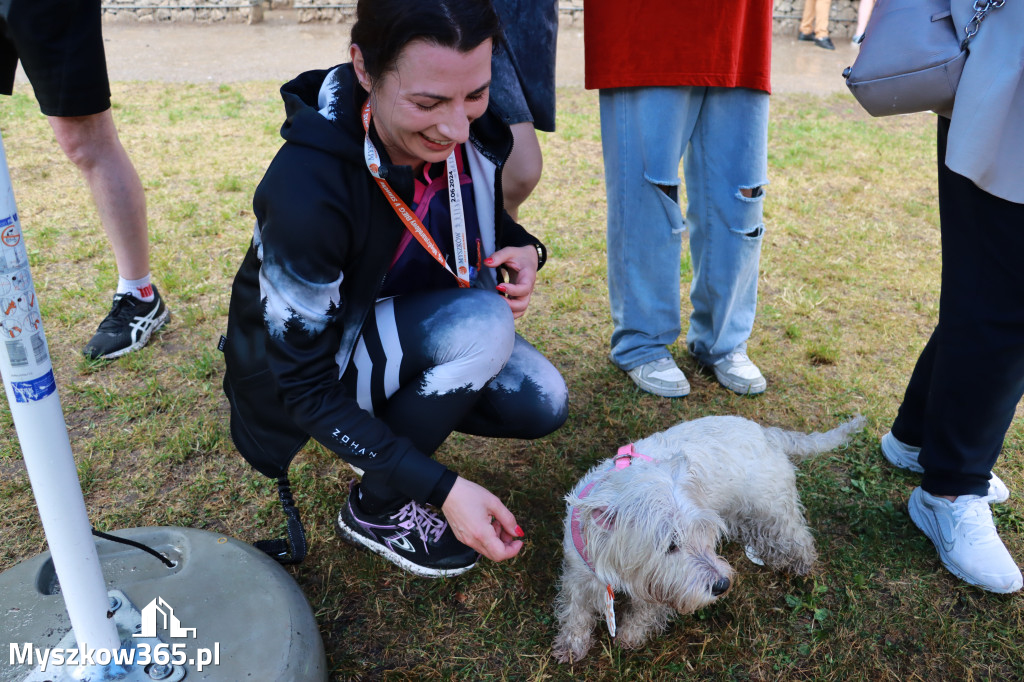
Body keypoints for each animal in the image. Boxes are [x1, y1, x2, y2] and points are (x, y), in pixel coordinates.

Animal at [552, 411, 864, 659]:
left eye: (703, 533)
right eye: (671, 545)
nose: (722, 585)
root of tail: (767, 434)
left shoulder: (656, 585)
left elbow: (645, 612)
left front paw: (631, 636)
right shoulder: (579, 574)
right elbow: (575, 610)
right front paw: (570, 645)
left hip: (772, 506)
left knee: (796, 535)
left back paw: (800, 563)